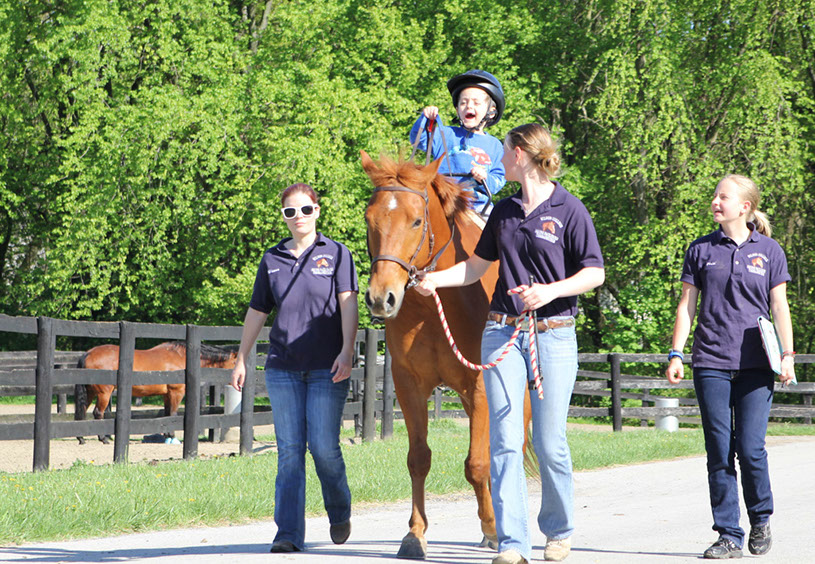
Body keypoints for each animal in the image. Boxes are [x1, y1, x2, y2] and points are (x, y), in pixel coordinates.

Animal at [74, 340, 236, 446]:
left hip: (90, 393)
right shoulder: (176, 392)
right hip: (104, 394)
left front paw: (167, 436)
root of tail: (88, 353)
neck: (182, 357)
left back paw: (81, 438)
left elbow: (166, 414)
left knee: (82, 411)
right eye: (235, 363)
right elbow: (173, 414)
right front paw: (172, 437)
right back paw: (103, 438)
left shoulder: (166, 395)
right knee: (97, 413)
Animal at [362, 151, 532, 560]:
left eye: (416, 220)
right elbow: (418, 459)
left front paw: (492, 527)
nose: (380, 297)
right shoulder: (409, 386)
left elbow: (477, 463)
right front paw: (415, 534)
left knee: (513, 448)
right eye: (369, 218)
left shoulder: (482, 384)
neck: (437, 302)